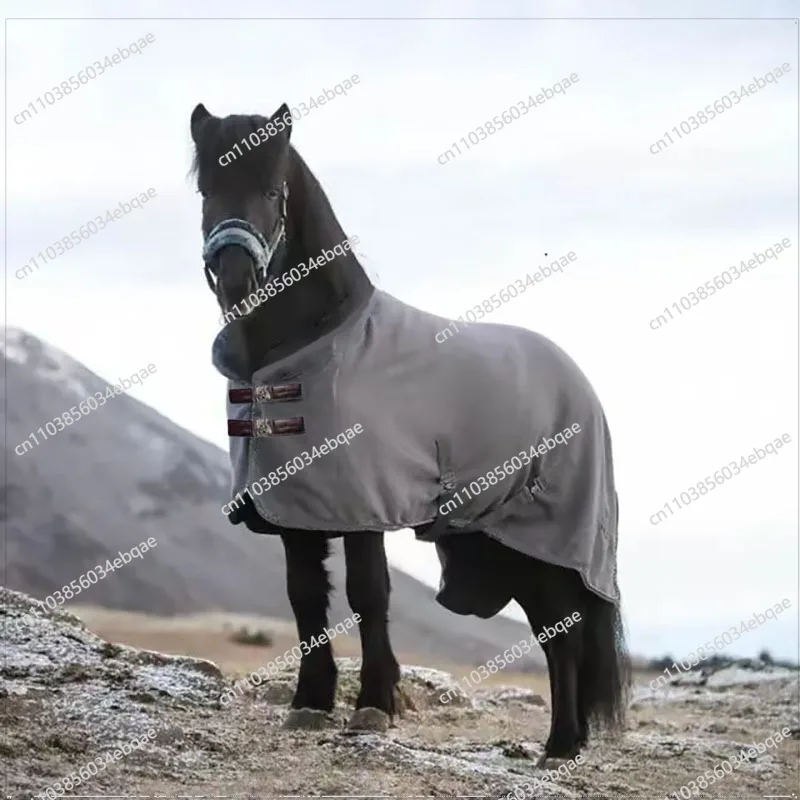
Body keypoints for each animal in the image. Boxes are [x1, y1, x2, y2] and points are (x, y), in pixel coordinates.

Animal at [190, 101, 631, 759]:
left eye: (272, 191)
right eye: (206, 190)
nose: (236, 276)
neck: (310, 348)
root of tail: (579, 383)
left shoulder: (362, 505)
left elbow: (368, 595)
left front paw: (373, 704)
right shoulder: (297, 510)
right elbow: (305, 597)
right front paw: (310, 702)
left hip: (548, 540)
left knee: (564, 633)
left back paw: (560, 744)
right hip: (511, 543)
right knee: (557, 632)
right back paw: (565, 742)